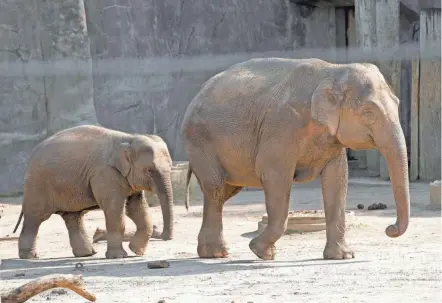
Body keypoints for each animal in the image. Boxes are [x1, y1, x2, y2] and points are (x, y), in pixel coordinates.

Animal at [12, 124, 174, 260]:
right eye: (149, 171)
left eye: (171, 166)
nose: (165, 237)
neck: (128, 138)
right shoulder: (106, 175)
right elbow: (115, 210)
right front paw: (119, 256)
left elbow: (136, 209)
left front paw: (136, 252)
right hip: (38, 185)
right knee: (35, 218)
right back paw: (30, 256)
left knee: (73, 217)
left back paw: (87, 254)